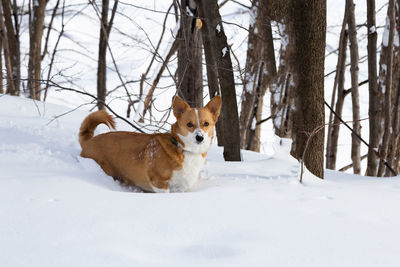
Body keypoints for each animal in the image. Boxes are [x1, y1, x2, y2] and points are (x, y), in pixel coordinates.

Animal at [78, 95, 222, 194]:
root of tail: (89, 141)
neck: (183, 148)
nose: (200, 138)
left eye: (206, 124)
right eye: (189, 124)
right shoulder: (159, 182)